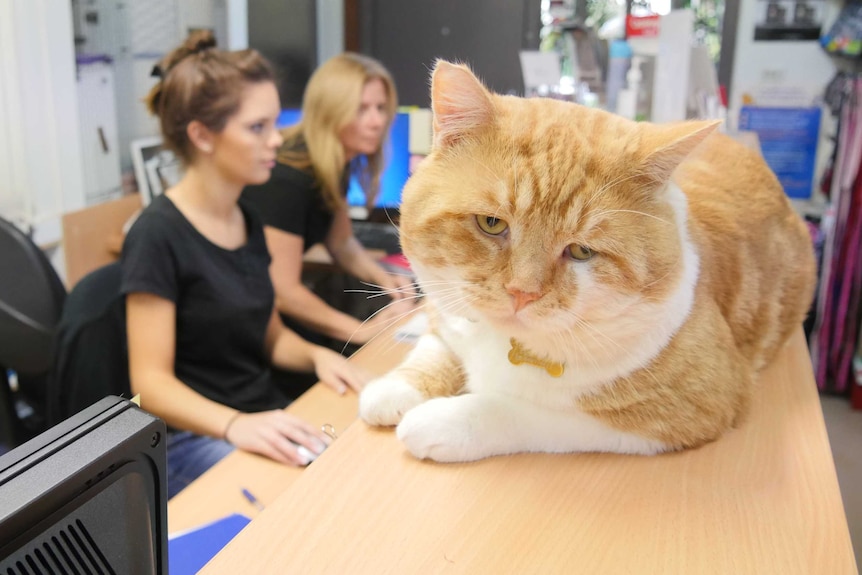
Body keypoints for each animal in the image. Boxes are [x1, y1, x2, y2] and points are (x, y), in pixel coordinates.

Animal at [358, 59, 816, 464]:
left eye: (581, 251)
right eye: (491, 224)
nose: (521, 293)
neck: (504, 342)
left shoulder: (688, 409)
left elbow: (526, 413)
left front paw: (445, 419)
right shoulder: (446, 314)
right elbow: (433, 346)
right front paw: (394, 388)